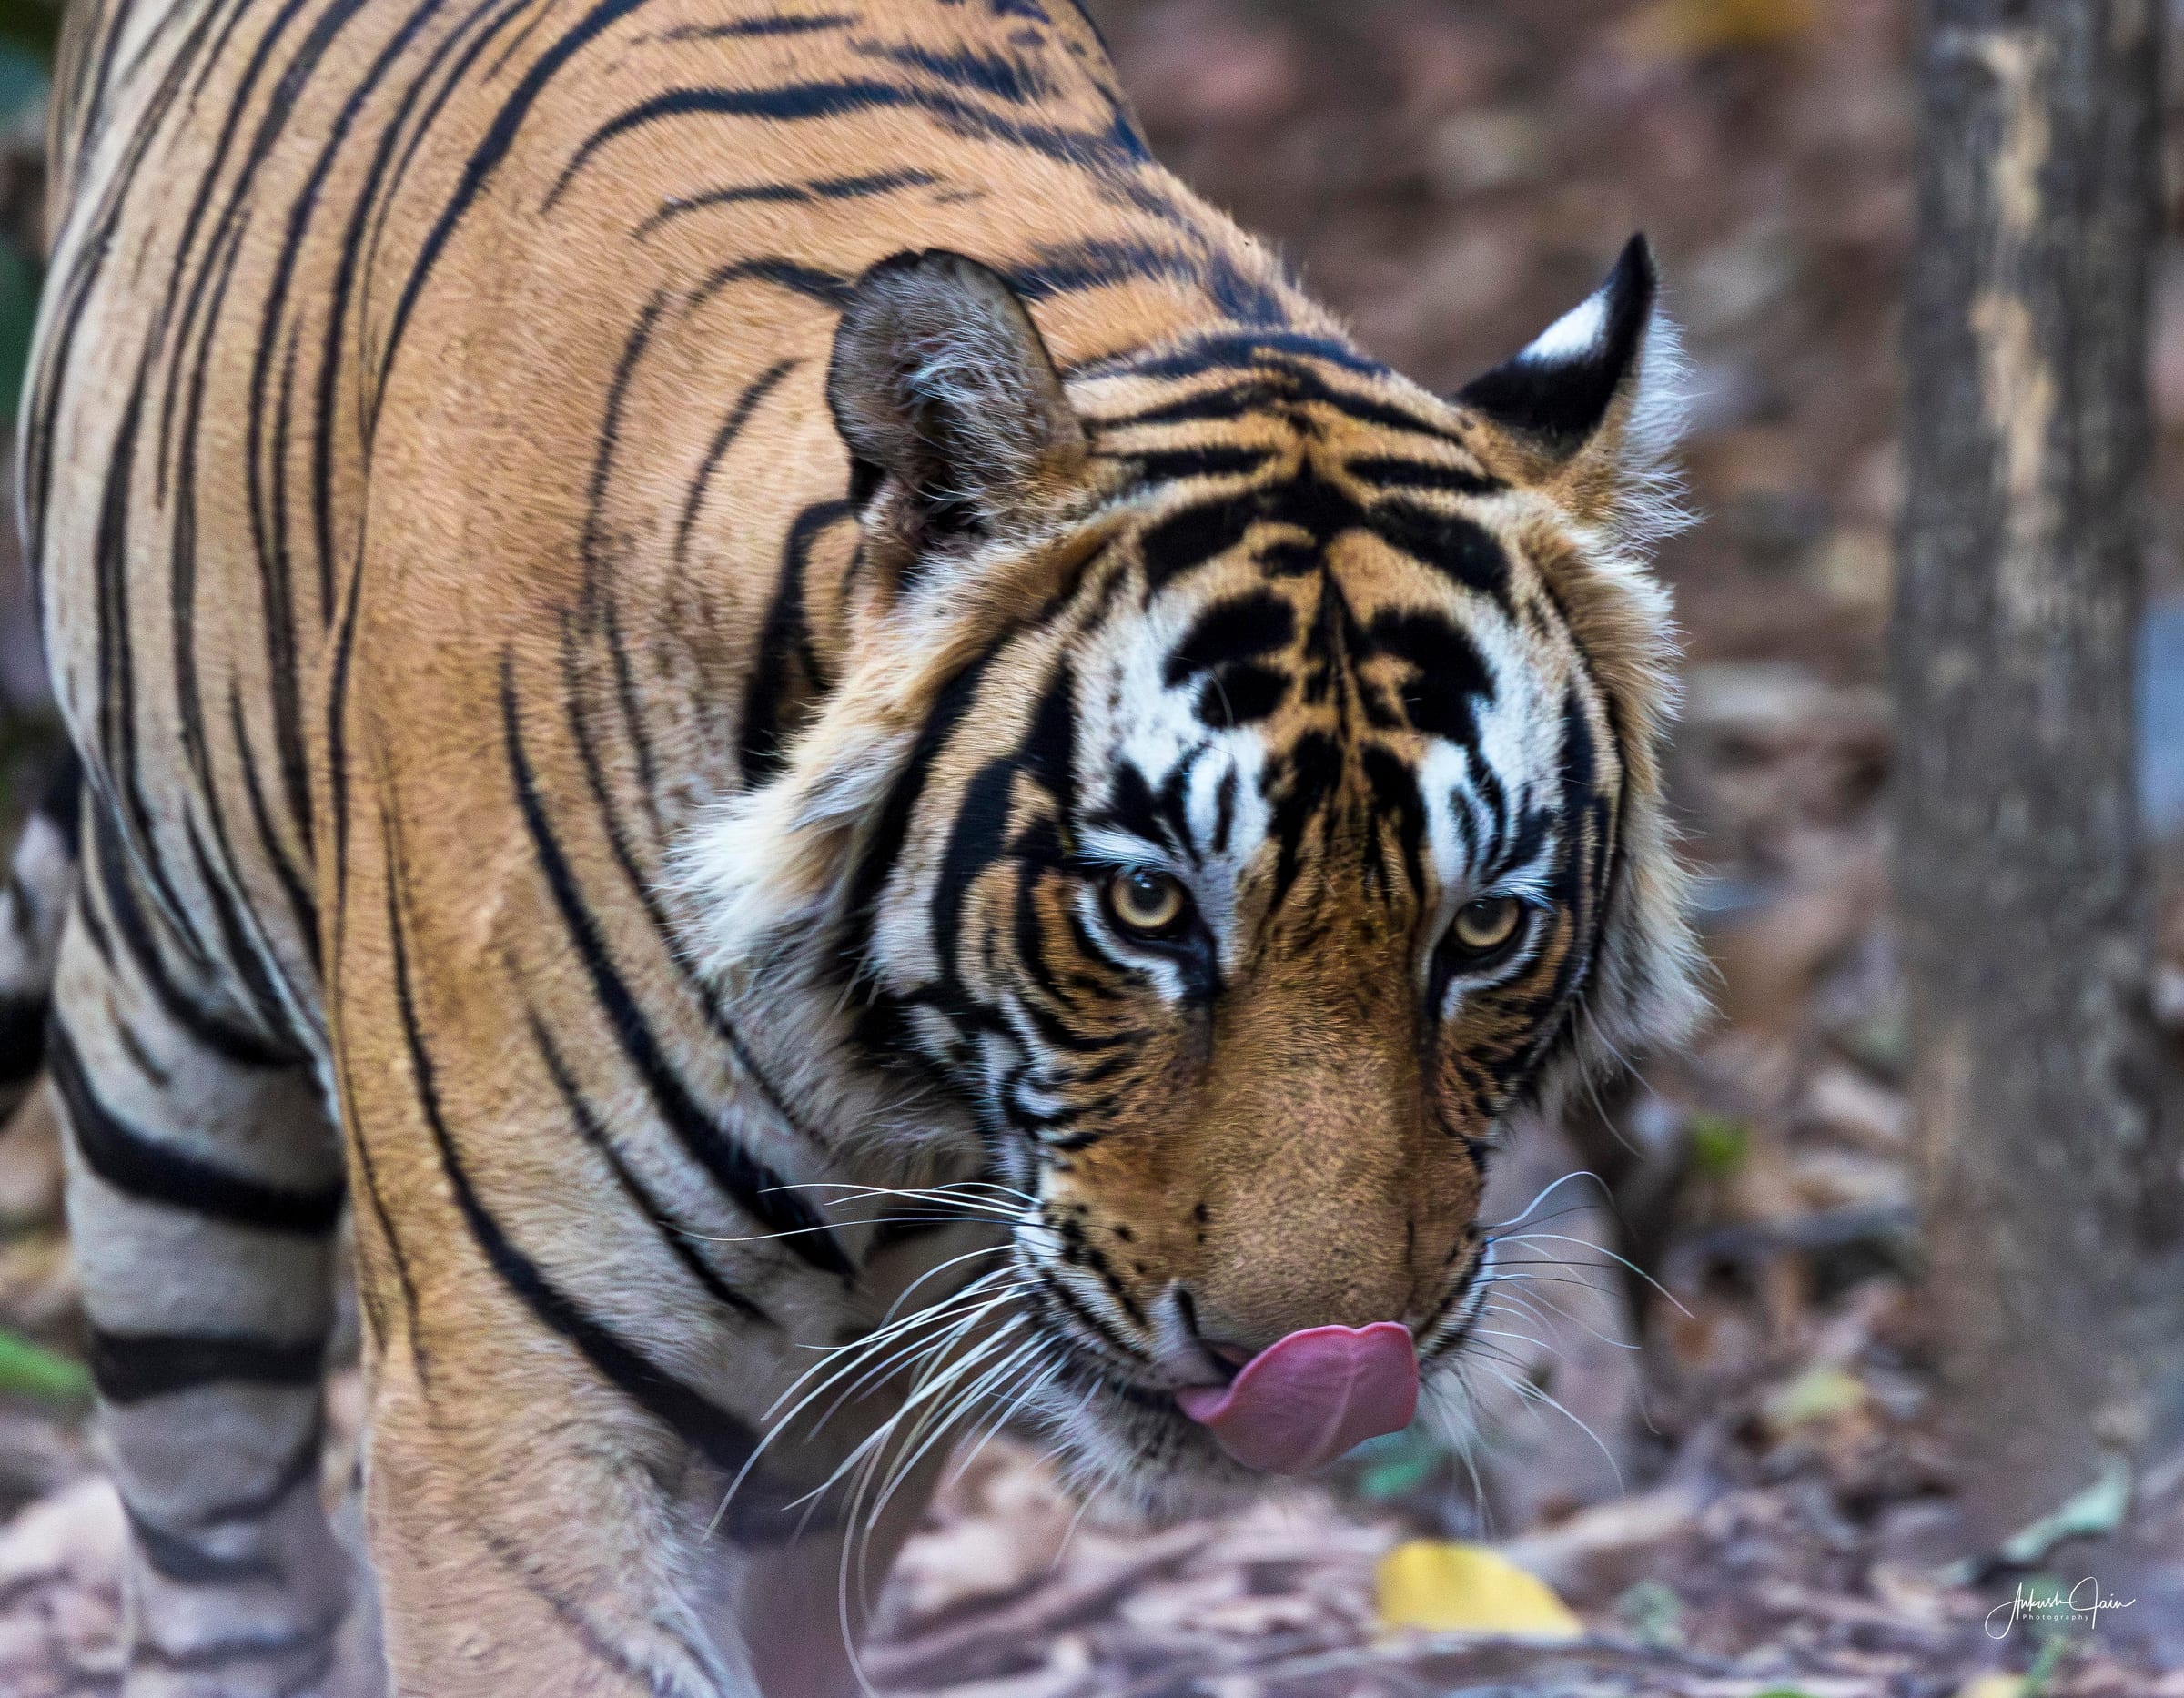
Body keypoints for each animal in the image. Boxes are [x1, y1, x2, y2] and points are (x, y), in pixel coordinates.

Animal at [9, 0, 1702, 1691]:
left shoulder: (858, 1426)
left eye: (1483, 927)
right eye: (1148, 904)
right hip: (173, 1098)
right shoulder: (516, 1402)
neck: (890, 1106)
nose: (1323, 1364)